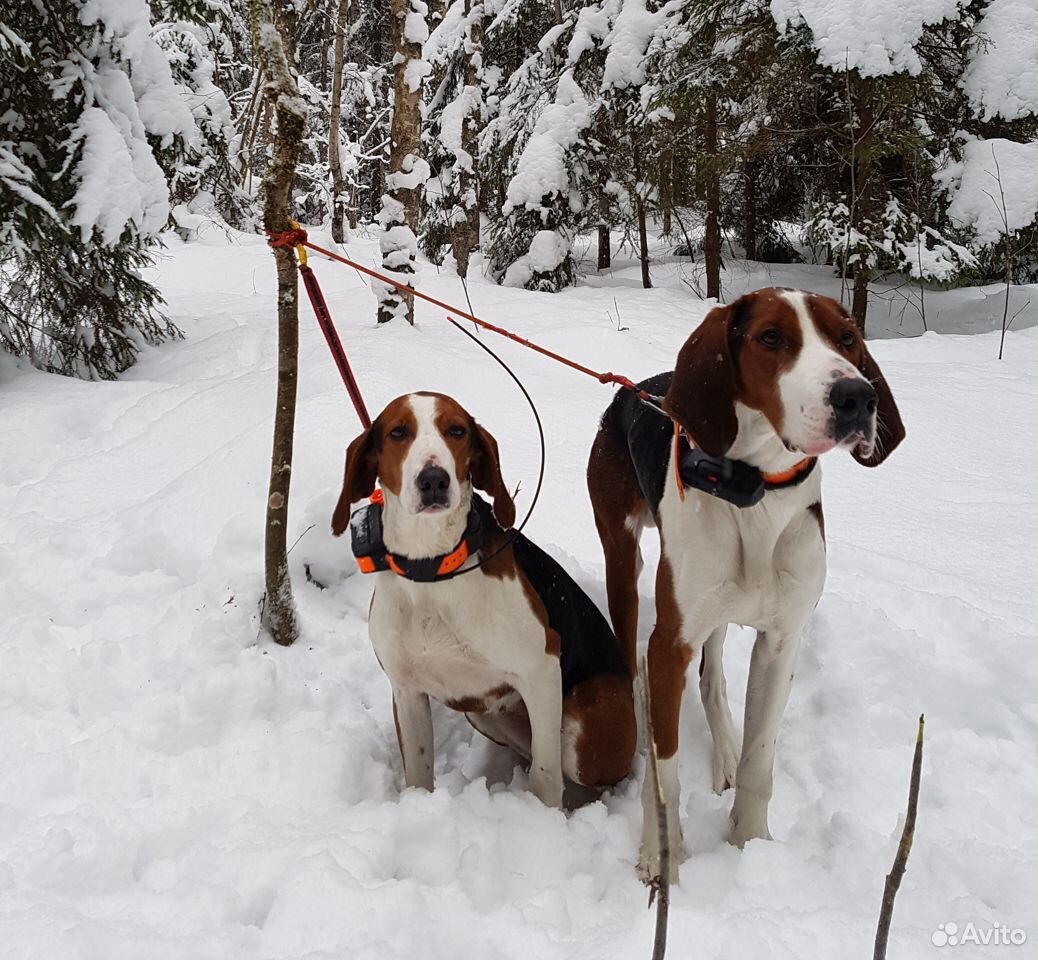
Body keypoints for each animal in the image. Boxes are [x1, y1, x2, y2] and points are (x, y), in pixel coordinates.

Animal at [336, 392, 635, 805]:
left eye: (456, 431)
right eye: (398, 432)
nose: (434, 480)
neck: (433, 568)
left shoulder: (542, 669)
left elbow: (546, 776)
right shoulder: (407, 691)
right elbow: (418, 774)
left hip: (584, 732)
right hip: (482, 713)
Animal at [589, 288, 905, 880]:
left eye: (848, 338)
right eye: (771, 338)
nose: (857, 395)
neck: (756, 492)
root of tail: (636, 389)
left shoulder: (782, 640)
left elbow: (761, 760)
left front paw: (750, 845)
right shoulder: (670, 643)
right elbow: (666, 774)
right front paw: (661, 855)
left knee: (712, 679)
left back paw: (725, 753)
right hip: (623, 560)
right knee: (632, 662)